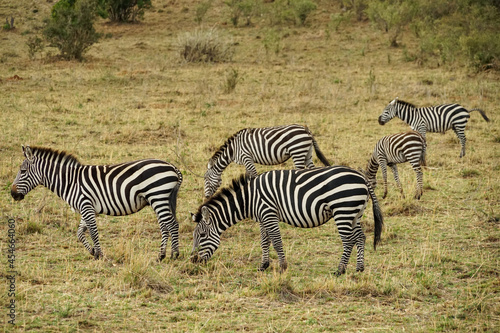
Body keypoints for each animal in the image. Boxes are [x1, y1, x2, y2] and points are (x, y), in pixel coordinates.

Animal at [10, 145, 183, 260]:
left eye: (23, 171)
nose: (12, 194)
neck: (70, 181)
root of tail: (173, 167)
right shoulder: (85, 207)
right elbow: (80, 233)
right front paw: (93, 252)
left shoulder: (86, 205)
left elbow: (93, 231)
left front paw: (99, 254)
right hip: (159, 199)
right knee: (164, 225)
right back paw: (161, 255)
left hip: (158, 195)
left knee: (172, 224)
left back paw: (174, 255)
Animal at [191, 165, 382, 274]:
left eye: (202, 236)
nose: (193, 260)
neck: (249, 199)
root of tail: (362, 177)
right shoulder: (262, 217)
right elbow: (265, 241)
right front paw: (264, 265)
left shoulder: (269, 213)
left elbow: (276, 241)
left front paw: (282, 267)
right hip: (355, 213)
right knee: (360, 237)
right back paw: (359, 268)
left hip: (343, 210)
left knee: (349, 241)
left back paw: (340, 270)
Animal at [201, 124, 330, 197]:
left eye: (206, 179)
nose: (206, 197)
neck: (233, 150)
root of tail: (306, 129)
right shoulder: (246, 161)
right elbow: (248, 176)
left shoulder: (246, 157)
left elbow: (253, 176)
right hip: (307, 153)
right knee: (312, 170)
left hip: (297, 151)